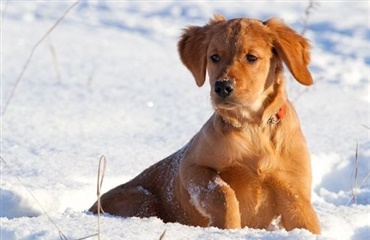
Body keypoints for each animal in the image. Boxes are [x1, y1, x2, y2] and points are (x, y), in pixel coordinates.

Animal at [89, 14, 320, 234]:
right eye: (214, 57)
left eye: (251, 57)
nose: (222, 87)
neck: (252, 128)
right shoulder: (191, 167)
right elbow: (222, 192)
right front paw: (230, 228)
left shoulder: (293, 191)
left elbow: (307, 222)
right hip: (141, 198)